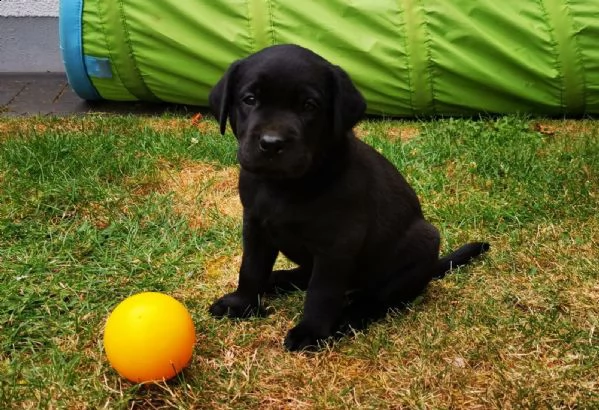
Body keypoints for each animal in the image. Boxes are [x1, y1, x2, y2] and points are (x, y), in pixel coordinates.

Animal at [209, 44, 490, 352]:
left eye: (309, 106)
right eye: (249, 99)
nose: (271, 143)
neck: (285, 185)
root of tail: (431, 269)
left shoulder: (337, 244)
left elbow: (322, 291)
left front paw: (311, 332)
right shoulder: (255, 225)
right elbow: (251, 268)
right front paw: (241, 304)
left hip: (423, 241)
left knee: (377, 298)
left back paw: (349, 316)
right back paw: (278, 279)